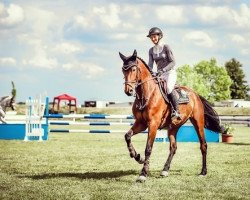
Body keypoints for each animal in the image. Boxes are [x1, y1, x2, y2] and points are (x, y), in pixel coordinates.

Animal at [119, 50, 223, 183]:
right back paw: (165, 170)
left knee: (203, 145)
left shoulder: (153, 124)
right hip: (173, 127)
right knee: (173, 147)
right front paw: (136, 156)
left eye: (133, 69)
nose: (128, 91)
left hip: (198, 122)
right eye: (123, 70)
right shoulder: (141, 123)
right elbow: (127, 136)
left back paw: (203, 172)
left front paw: (143, 174)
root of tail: (195, 94)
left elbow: (148, 148)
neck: (146, 94)